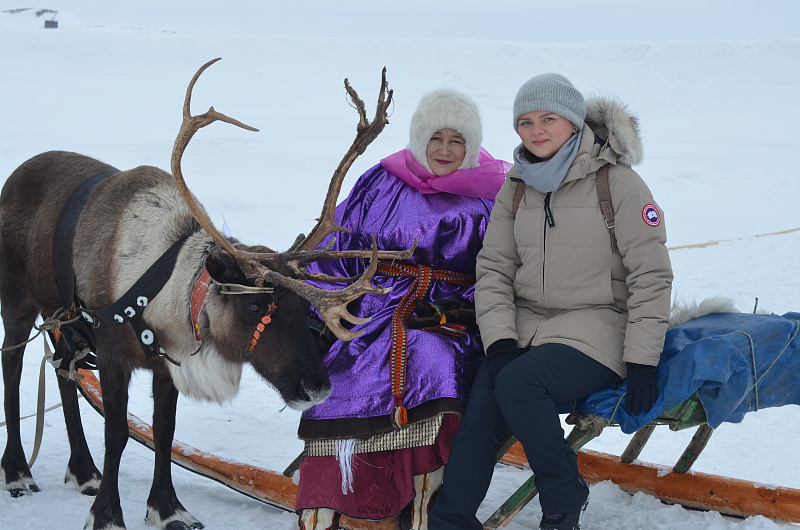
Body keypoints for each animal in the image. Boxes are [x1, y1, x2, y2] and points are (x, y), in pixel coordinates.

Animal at [0, 58, 409, 530]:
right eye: (255, 305)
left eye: (305, 307)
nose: (317, 387)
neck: (163, 292)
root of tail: (14, 176)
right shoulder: (113, 353)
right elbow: (117, 433)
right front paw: (106, 515)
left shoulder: (166, 364)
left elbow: (164, 431)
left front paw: (167, 508)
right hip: (18, 303)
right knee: (13, 367)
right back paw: (18, 472)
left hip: (61, 319)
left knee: (63, 373)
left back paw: (83, 472)